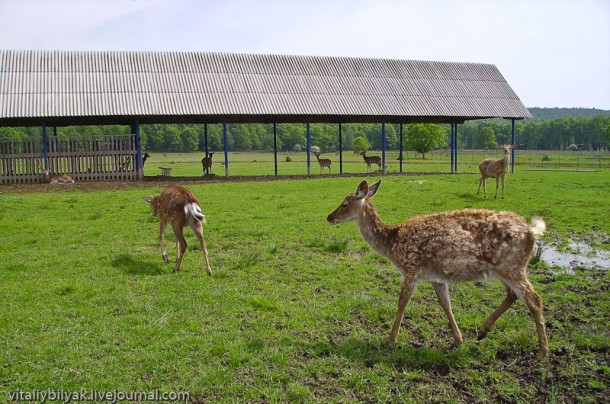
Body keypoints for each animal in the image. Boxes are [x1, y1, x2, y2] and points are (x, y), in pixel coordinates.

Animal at [326, 178, 548, 362]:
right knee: (513, 295)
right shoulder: (437, 277)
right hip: (504, 269)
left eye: (344, 203)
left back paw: (542, 352)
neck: (392, 243)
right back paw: (483, 330)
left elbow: (402, 302)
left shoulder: (411, 267)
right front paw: (458, 339)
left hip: (512, 266)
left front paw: (390, 337)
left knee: (534, 299)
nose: (329, 217)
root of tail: (532, 231)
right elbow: (445, 304)